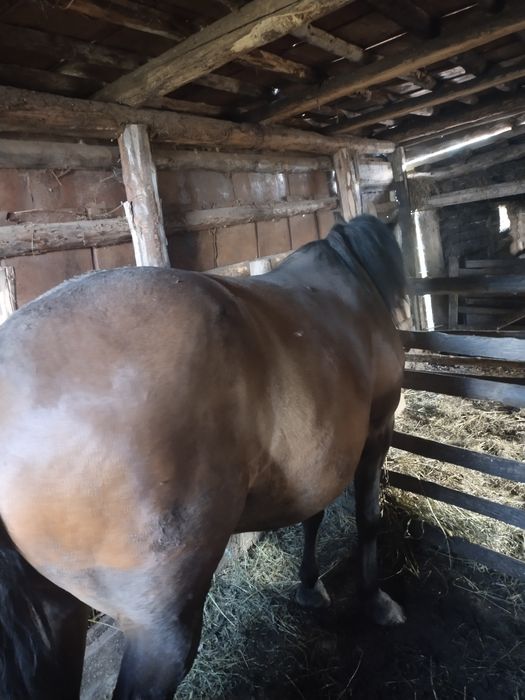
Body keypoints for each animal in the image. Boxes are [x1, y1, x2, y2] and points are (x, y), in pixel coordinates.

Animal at [0, 214, 407, 699]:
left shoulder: (325, 454)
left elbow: (314, 516)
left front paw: (310, 587)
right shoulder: (376, 432)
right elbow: (367, 518)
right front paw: (376, 601)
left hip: (58, 619)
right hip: (160, 631)